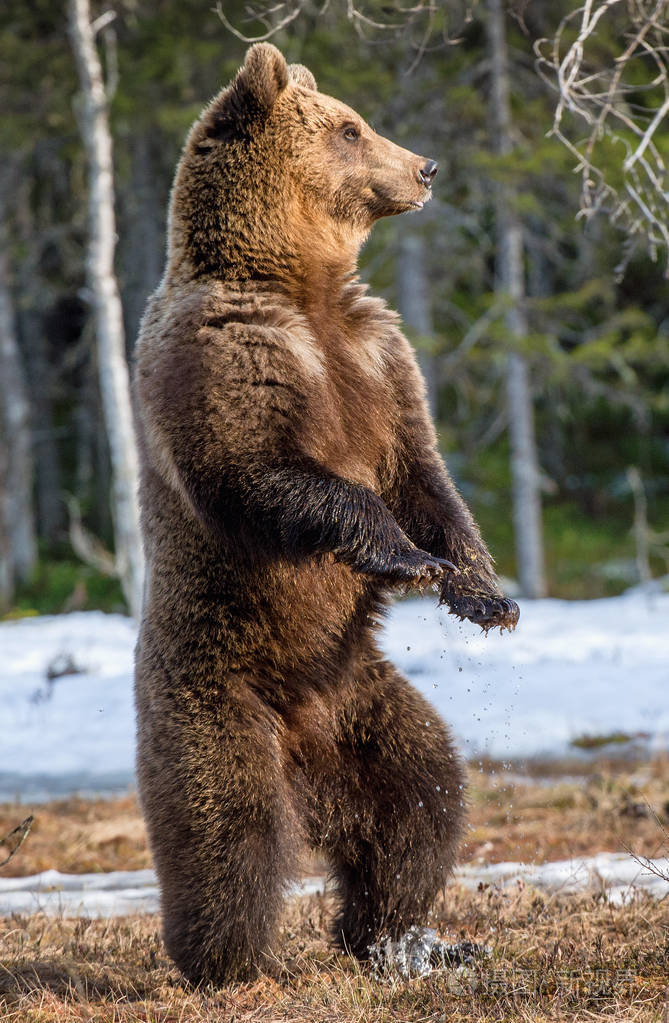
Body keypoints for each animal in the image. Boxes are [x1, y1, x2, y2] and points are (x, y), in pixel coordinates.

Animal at [132, 42, 519, 986]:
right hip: (214, 694)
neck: (298, 283)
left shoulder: (378, 358)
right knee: (225, 830)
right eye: (350, 127)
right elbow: (265, 473)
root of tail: (304, 755)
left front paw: (482, 593)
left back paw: (399, 936)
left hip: (362, 701)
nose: (424, 166)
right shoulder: (228, 354)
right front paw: (405, 557)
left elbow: (427, 475)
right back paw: (226, 961)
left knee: (421, 803)